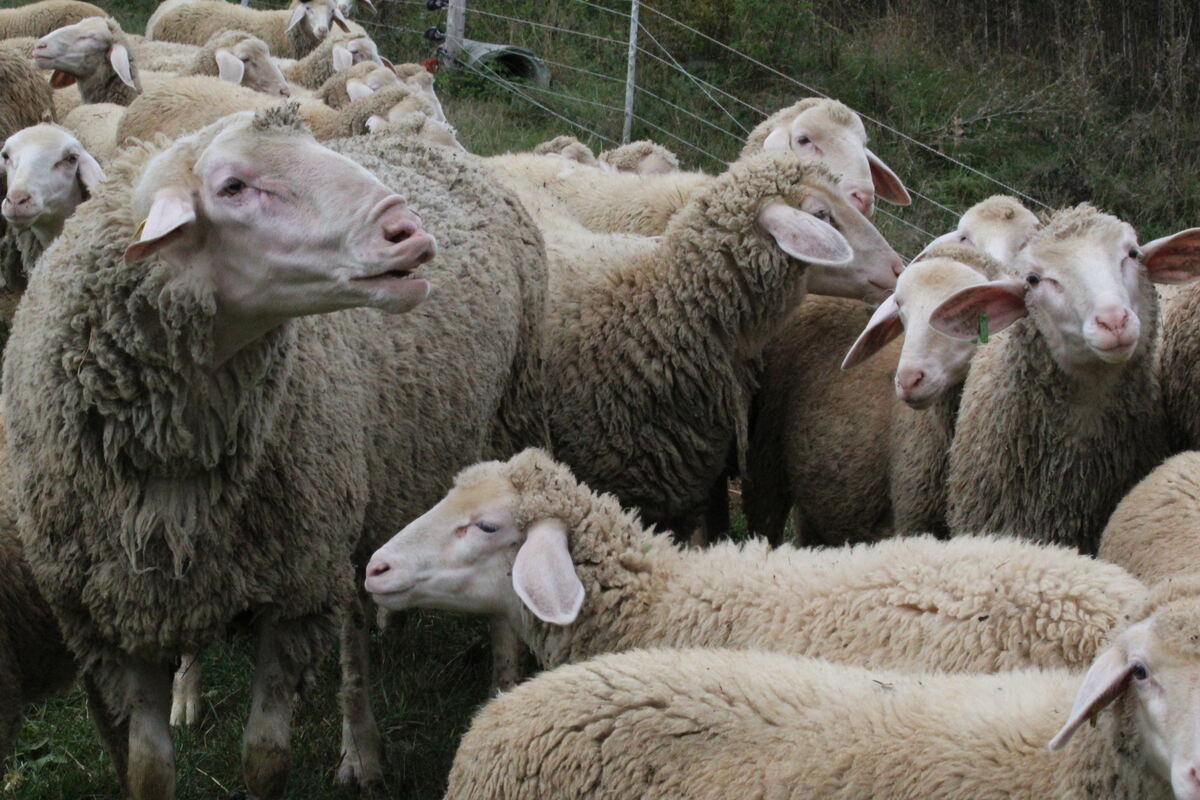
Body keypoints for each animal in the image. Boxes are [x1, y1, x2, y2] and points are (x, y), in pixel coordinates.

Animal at [3, 103, 548, 797]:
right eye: (233, 187)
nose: (409, 232)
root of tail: (423, 140)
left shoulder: (291, 592)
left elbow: (265, 759)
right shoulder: (115, 618)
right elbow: (149, 770)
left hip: (499, 421)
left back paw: (471, 699)